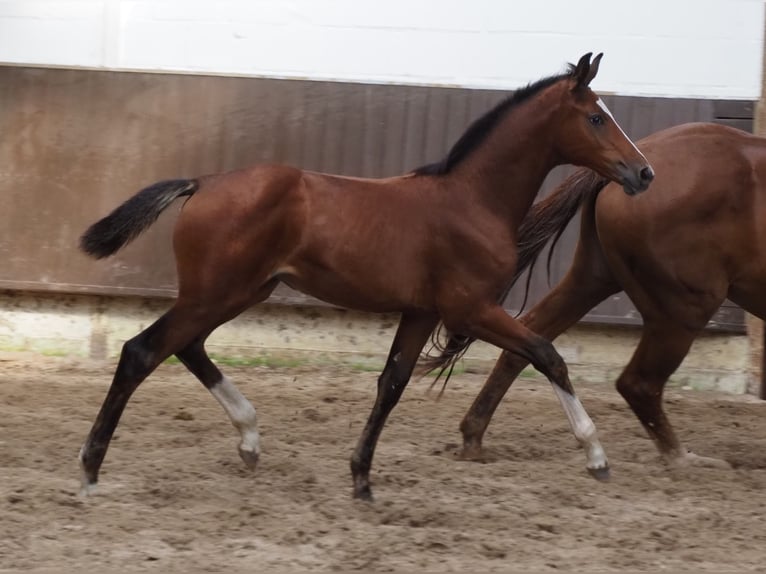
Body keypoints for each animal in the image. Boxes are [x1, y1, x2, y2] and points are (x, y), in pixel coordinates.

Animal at [76, 55, 656, 504]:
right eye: (595, 117)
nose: (644, 172)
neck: (472, 200)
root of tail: (203, 182)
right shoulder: (469, 309)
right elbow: (547, 354)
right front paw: (596, 455)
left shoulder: (422, 312)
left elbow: (392, 384)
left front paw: (362, 480)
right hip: (216, 292)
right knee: (142, 351)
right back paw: (90, 470)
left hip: (240, 291)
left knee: (187, 346)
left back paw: (249, 439)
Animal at [432, 124, 760, 470]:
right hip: (683, 309)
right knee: (638, 383)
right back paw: (682, 459)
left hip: (594, 278)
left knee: (529, 340)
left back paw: (473, 436)